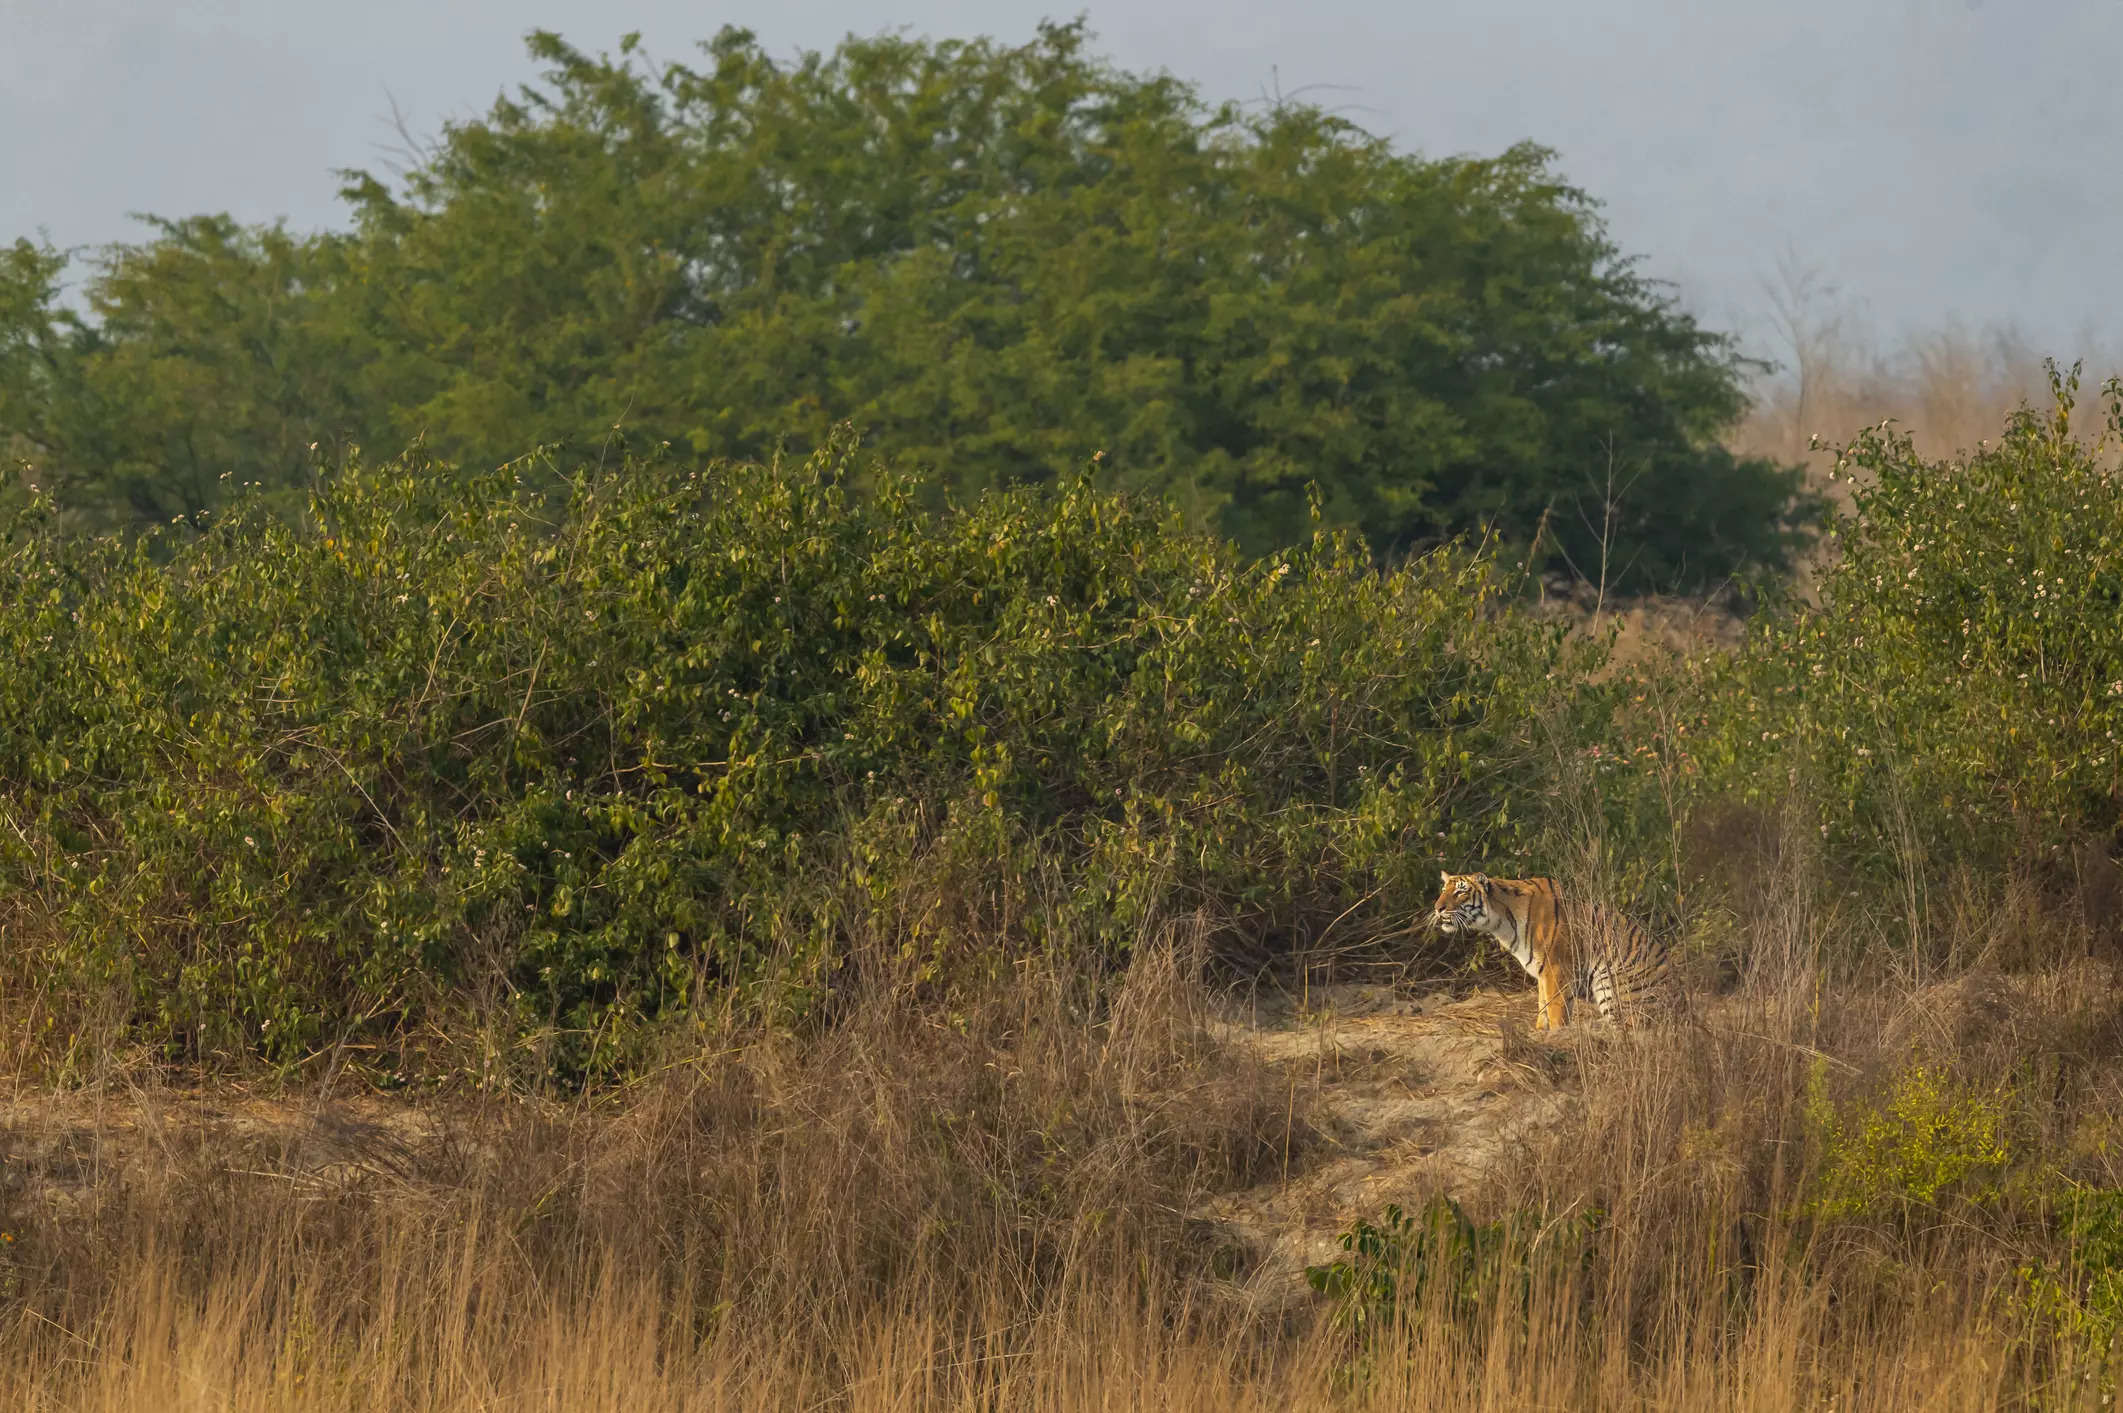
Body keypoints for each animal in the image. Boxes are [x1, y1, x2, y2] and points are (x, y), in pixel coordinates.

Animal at [1435, 865, 1681, 1031]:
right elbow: (1542, 1005)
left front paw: (1557, 1034)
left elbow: (1555, 1009)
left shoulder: (1557, 968)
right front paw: (1540, 1031)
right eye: (1443, 890)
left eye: (1460, 892)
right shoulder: (1542, 971)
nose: (1437, 908)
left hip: (1612, 986)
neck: (1501, 922)